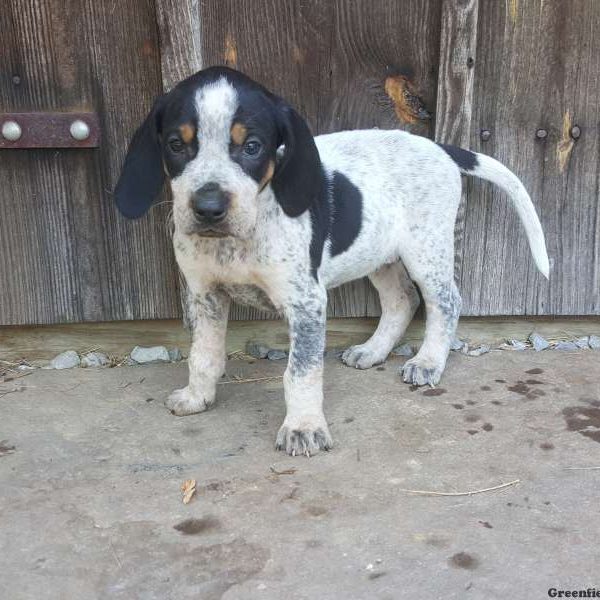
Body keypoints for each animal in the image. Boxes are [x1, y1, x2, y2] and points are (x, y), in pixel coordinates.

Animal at [115, 67, 552, 454]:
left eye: (252, 146)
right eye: (176, 145)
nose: (207, 208)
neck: (237, 241)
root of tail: (439, 147)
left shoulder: (306, 302)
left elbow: (301, 371)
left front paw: (303, 427)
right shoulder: (205, 294)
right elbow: (202, 356)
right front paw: (197, 395)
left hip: (426, 249)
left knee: (445, 302)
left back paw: (428, 362)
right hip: (379, 254)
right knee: (402, 300)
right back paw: (373, 350)